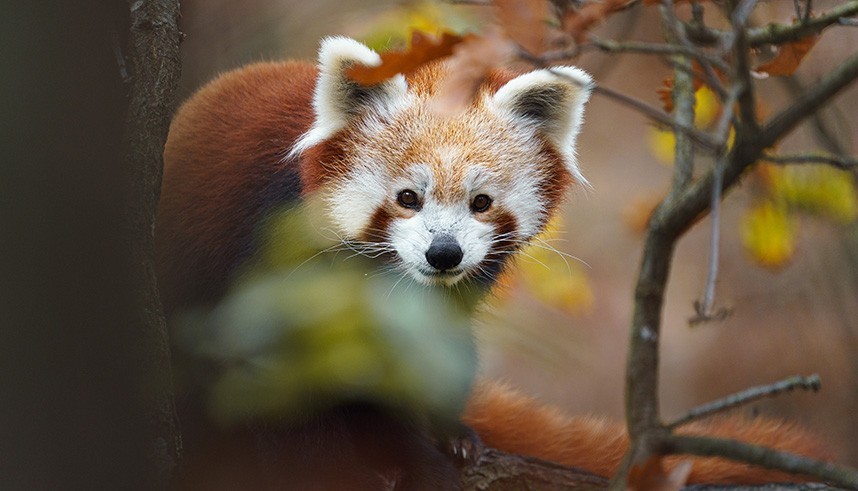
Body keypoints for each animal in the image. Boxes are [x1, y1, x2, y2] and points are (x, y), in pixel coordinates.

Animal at [157, 37, 832, 488]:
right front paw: (360, 461)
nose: (444, 253)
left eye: (481, 203)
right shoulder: (262, 251)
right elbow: (282, 386)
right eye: (408, 198)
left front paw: (438, 440)